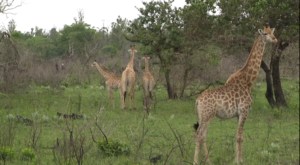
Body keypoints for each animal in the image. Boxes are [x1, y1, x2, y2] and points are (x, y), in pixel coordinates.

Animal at [193, 25, 278, 164]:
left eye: (272, 32)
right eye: (265, 33)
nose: (275, 39)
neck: (248, 81)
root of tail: (197, 101)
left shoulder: (239, 114)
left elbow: (240, 136)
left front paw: (240, 159)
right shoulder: (244, 110)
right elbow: (239, 136)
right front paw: (238, 161)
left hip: (203, 116)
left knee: (203, 135)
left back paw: (207, 161)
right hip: (207, 116)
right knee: (199, 134)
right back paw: (197, 161)